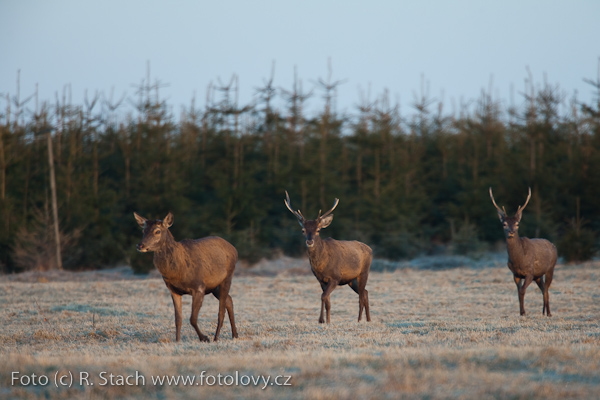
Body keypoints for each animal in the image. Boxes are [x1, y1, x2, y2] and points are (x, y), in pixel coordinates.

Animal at [135, 211, 238, 342]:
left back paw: (216, 338)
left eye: (157, 231)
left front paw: (204, 338)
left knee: (221, 310)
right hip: (214, 287)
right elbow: (178, 319)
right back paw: (235, 334)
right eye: (143, 231)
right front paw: (177, 341)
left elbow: (192, 319)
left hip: (227, 277)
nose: (140, 245)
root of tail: (234, 249)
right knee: (229, 301)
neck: (179, 272)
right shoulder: (173, 290)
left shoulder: (199, 287)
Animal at [284, 191, 372, 324]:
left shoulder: (335, 277)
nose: (309, 241)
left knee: (362, 296)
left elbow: (323, 296)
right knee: (365, 293)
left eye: (318, 230)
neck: (322, 265)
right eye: (303, 230)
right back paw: (368, 320)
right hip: (351, 280)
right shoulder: (321, 280)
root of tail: (370, 249)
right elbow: (328, 303)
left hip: (363, 273)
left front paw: (321, 320)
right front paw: (328, 321)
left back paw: (360, 320)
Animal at [488, 189, 556, 318]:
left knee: (546, 289)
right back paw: (543, 312)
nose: (511, 231)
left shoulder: (529, 273)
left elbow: (522, 290)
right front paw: (521, 312)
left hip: (551, 268)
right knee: (544, 289)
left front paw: (524, 312)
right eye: (504, 224)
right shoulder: (516, 274)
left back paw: (549, 313)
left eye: (517, 223)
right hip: (538, 275)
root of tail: (553, 245)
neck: (518, 260)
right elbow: (518, 292)